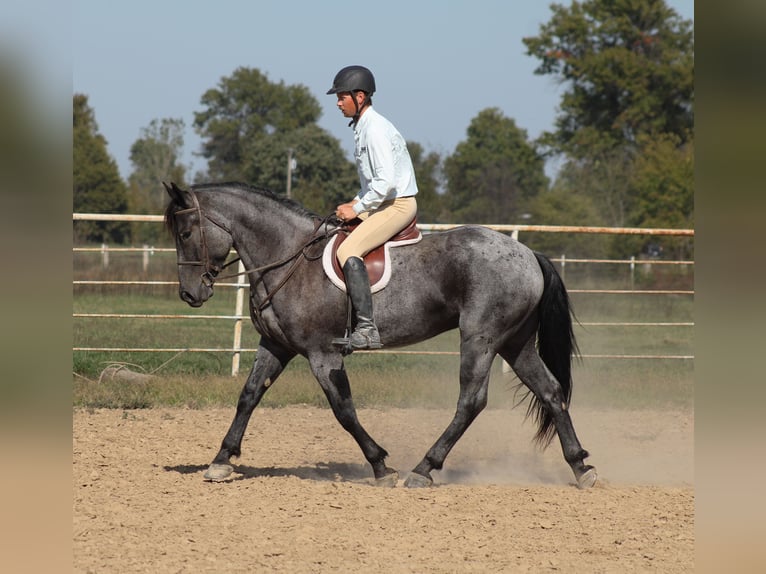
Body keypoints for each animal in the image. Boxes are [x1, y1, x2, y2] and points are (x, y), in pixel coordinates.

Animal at [163, 181, 597, 489]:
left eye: (185, 234)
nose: (190, 294)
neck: (288, 256)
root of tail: (528, 255)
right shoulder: (276, 346)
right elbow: (249, 396)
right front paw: (221, 460)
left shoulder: (322, 354)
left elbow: (344, 410)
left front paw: (380, 465)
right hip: (514, 343)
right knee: (551, 391)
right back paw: (580, 466)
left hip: (481, 340)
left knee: (471, 401)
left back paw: (423, 468)